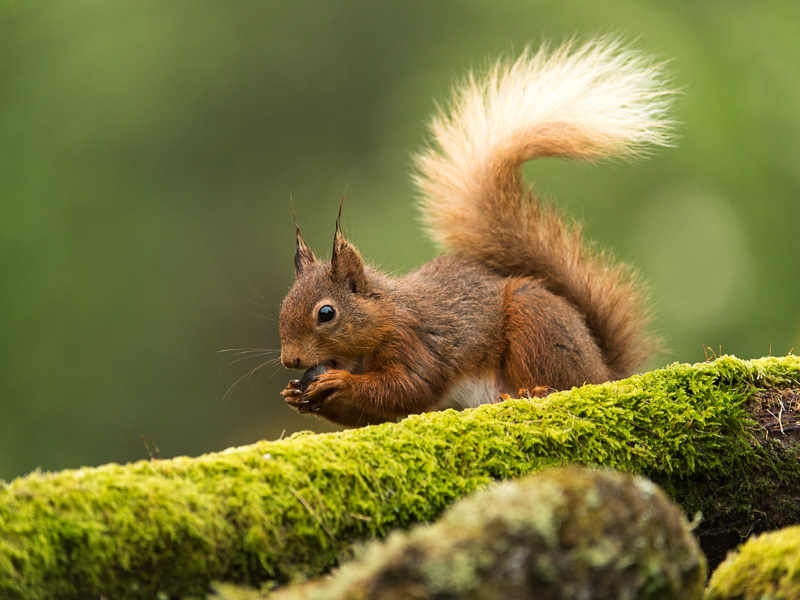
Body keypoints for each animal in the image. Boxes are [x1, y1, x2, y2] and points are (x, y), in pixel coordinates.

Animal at [278, 38, 672, 426]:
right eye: (283, 306)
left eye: (326, 313)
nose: (290, 361)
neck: (381, 317)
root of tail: (605, 371)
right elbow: (370, 415)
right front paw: (297, 394)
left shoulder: (413, 343)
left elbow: (407, 388)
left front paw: (338, 381)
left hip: (535, 323)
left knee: (559, 381)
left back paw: (531, 392)